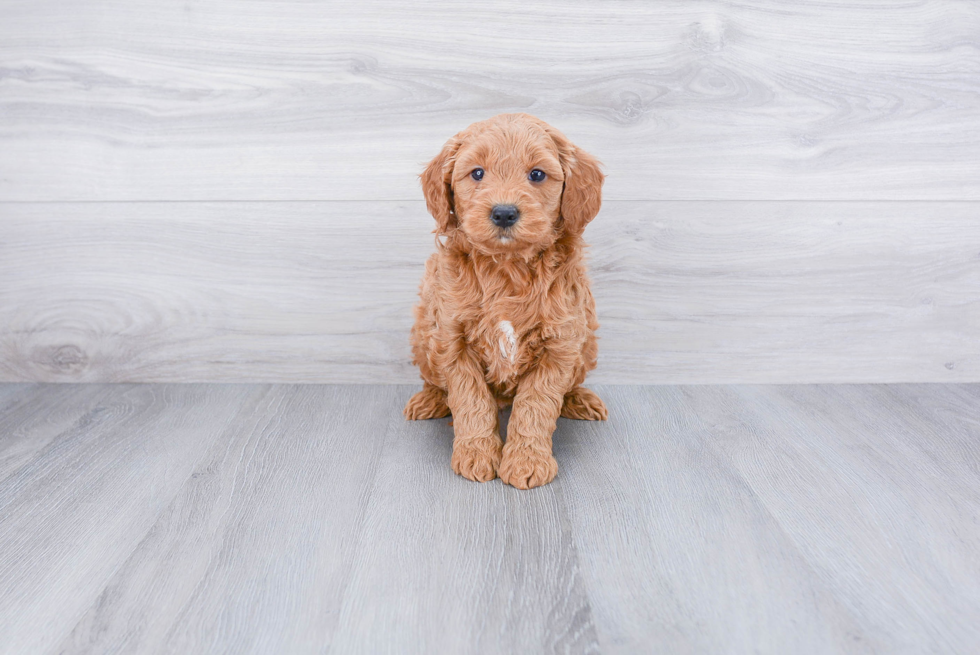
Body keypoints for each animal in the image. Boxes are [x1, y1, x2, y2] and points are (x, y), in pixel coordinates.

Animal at [404, 113, 604, 490]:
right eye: (477, 173)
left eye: (537, 174)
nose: (504, 213)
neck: (507, 266)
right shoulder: (452, 340)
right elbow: (471, 401)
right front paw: (477, 454)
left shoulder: (560, 344)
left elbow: (535, 406)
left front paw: (527, 461)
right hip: (424, 335)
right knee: (435, 381)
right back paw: (429, 399)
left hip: (586, 345)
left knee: (570, 384)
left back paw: (580, 399)